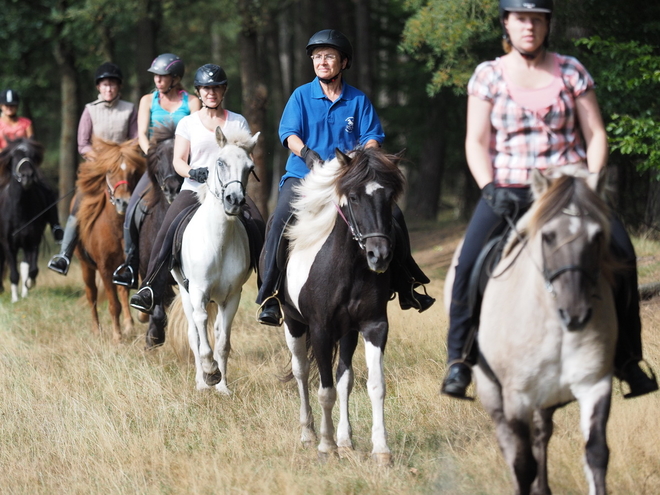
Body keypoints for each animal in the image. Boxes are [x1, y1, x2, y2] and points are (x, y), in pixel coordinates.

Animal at [0, 139, 60, 302]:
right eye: (14, 156)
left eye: (32, 156)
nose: (27, 176)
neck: (20, 212)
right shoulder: (8, 244)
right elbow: (14, 273)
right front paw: (15, 299)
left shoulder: (33, 241)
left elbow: (32, 270)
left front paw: (28, 285)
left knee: (25, 265)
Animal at [76, 138, 146, 342]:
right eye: (109, 171)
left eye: (133, 171)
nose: (124, 202)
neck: (117, 228)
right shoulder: (105, 268)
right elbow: (114, 304)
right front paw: (117, 337)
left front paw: (140, 317)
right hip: (86, 266)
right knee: (91, 294)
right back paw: (96, 329)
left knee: (122, 291)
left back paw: (129, 325)